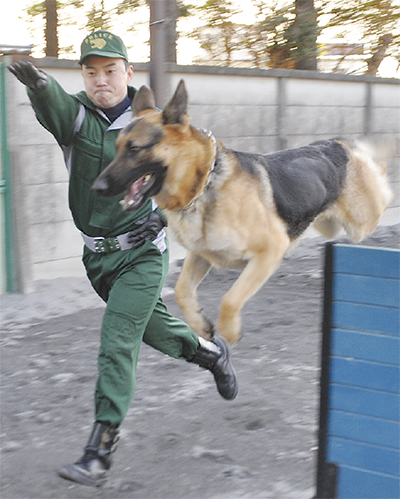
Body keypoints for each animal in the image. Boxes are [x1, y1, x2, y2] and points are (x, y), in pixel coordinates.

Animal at [94, 80, 394, 346]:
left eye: (135, 149)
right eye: (117, 147)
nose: (96, 188)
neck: (203, 186)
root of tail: (340, 145)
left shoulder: (270, 251)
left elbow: (230, 298)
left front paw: (229, 333)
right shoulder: (201, 255)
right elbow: (181, 291)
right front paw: (201, 325)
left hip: (360, 222)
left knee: (382, 183)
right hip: (327, 224)